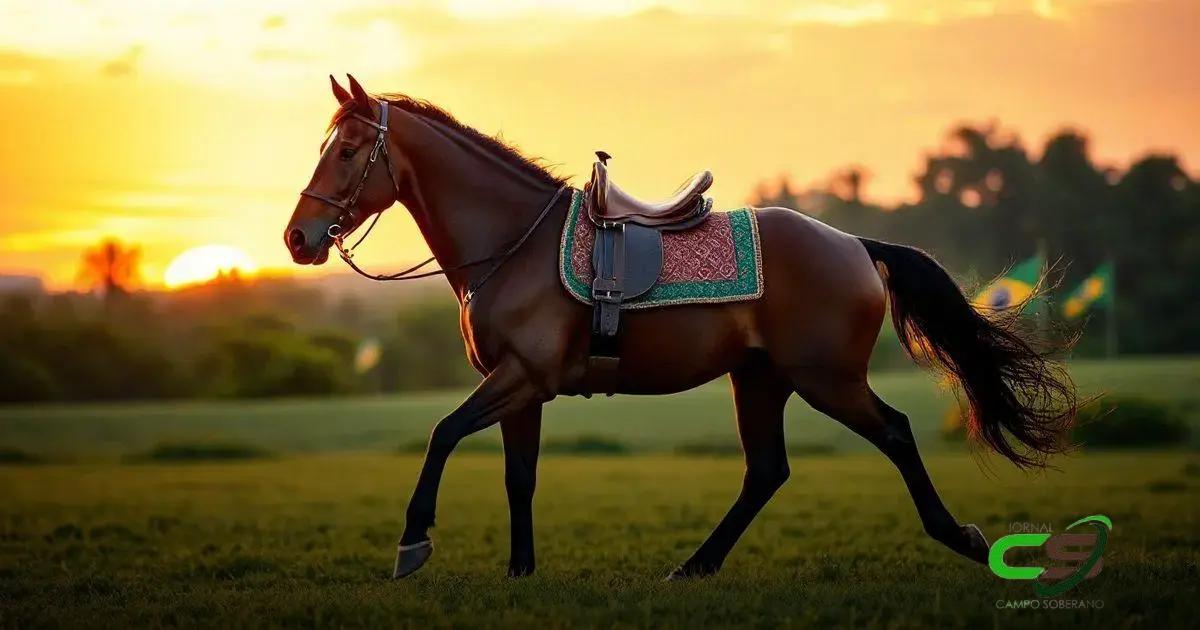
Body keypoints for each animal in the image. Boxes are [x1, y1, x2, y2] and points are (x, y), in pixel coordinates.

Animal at [284, 75, 1077, 580]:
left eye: (348, 150)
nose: (298, 237)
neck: (515, 244)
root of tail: (854, 244)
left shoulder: (522, 378)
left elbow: (443, 433)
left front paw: (412, 542)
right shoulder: (522, 390)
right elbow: (519, 477)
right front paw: (520, 572)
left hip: (826, 380)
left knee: (895, 434)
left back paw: (958, 536)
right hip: (761, 380)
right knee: (767, 471)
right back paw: (695, 566)